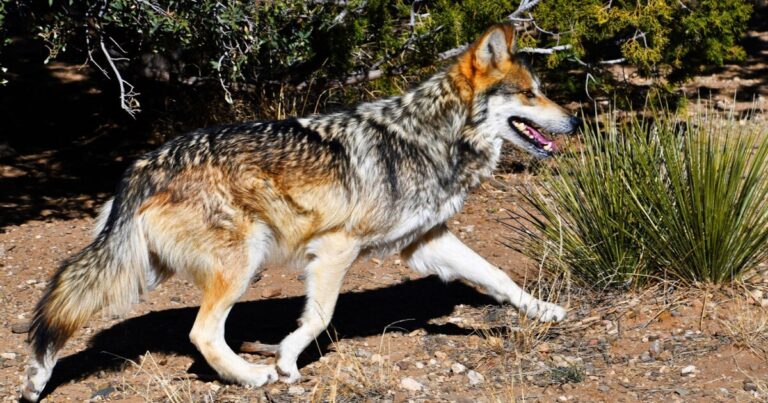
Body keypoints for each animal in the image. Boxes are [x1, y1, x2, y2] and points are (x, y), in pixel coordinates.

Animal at [22, 24, 578, 401]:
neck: (431, 138)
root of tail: (144, 164)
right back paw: (251, 376)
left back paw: (37, 377)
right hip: (240, 263)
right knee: (201, 333)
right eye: (530, 94)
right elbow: (319, 317)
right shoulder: (335, 248)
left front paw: (547, 311)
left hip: (141, 270)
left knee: (69, 304)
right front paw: (287, 360)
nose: (574, 120)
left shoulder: (426, 242)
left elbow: (498, 276)